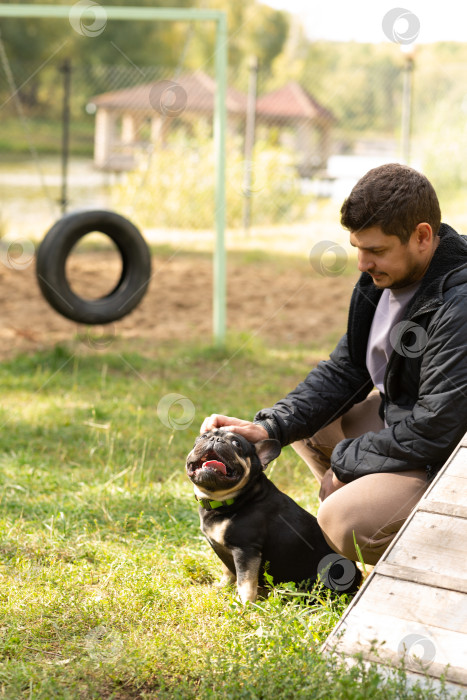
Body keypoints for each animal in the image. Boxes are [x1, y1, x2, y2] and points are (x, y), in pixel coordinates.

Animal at [186, 426, 362, 600]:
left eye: (236, 443)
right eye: (203, 437)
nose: (215, 439)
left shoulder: (245, 550)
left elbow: (245, 582)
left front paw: (245, 604)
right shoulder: (226, 551)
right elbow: (228, 570)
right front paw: (222, 587)